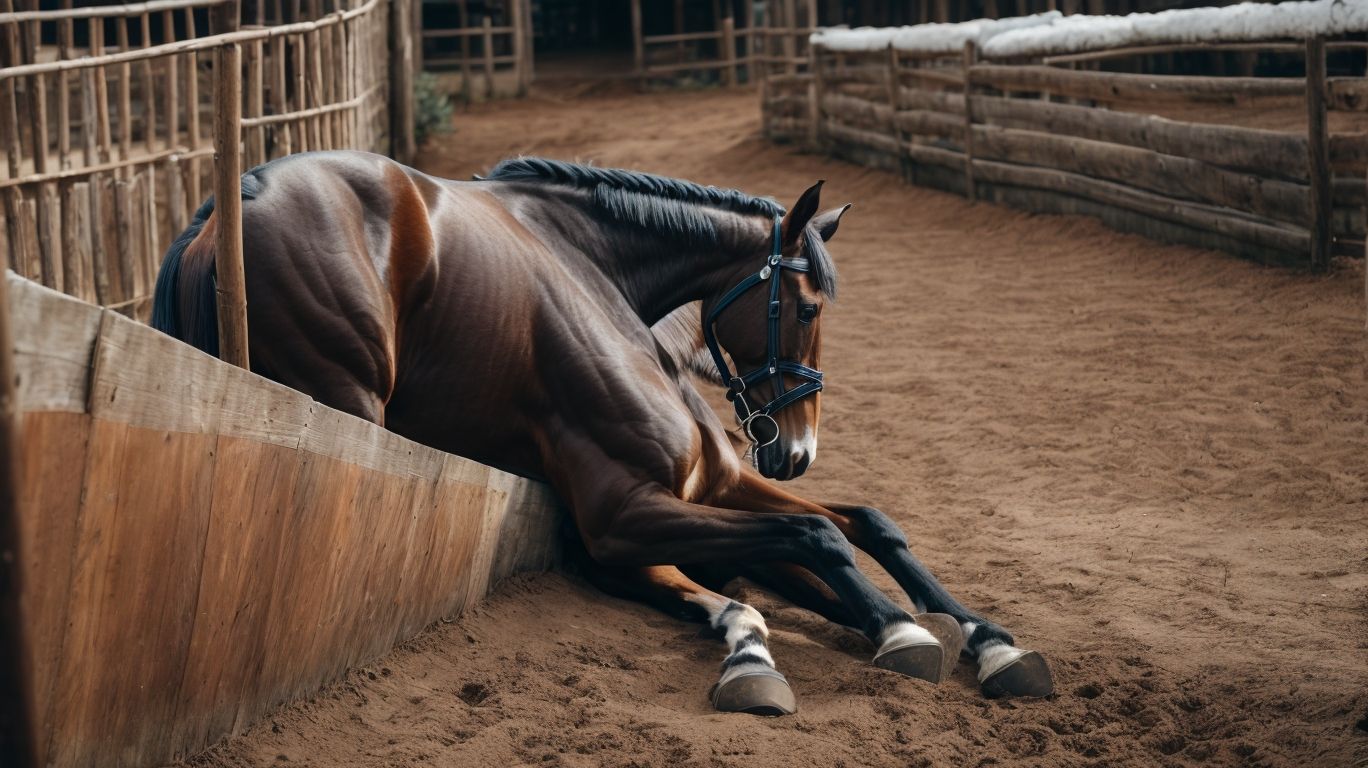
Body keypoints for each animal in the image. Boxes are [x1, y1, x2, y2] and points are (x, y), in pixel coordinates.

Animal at [151, 151, 1053, 715]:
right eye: (805, 309)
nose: (796, 450)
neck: (604, 281)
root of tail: (226, 213)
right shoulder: (623, 515)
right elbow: (812, 540)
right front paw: (899, 631)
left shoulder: (718, 488)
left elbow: (862, 525)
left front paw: (986, 639)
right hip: (350, 404)